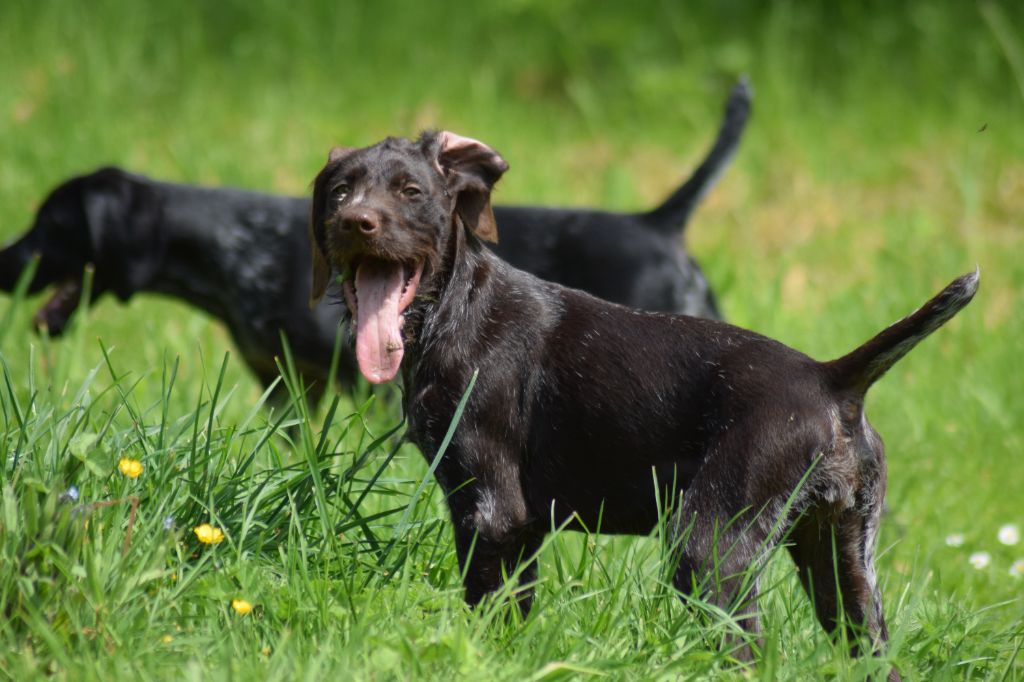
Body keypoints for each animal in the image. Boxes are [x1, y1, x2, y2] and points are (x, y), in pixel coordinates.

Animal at [309, 129, 974, 675]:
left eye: (411, 191)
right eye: (340, 193)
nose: (356, 222)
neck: (454, 308)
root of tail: (832, 379)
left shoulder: (492, 512)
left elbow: (487, 614)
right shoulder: (518, 528)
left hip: (709, 549)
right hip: (842, 567)